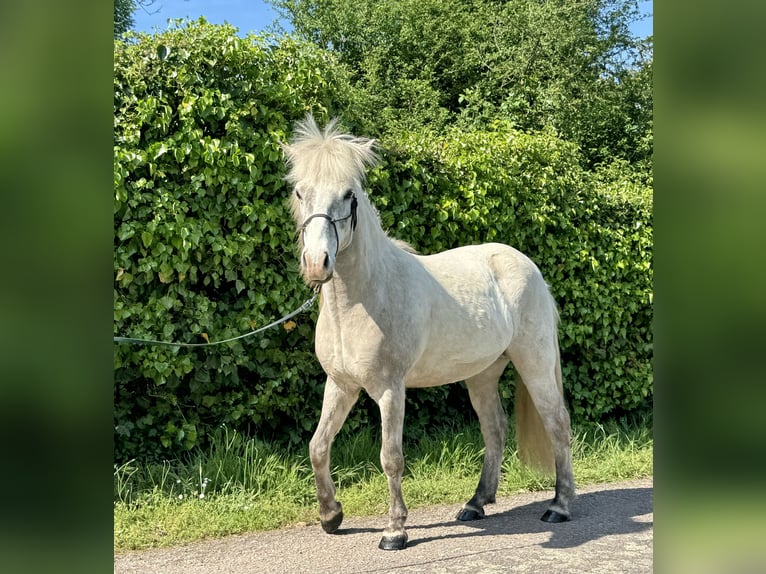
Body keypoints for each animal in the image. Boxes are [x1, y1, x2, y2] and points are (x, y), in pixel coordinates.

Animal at [284, 115, 576, 552]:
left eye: (349, 195)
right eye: (300, 191)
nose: (318, 263)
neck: (364, 299)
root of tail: (528, 267)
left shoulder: (390, 390)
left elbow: (391, 457)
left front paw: (394, 531)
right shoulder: (341, 385)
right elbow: (318, 446)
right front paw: (331, 516)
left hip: (535, 364)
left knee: (557, 422)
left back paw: (560, 506)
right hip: (483, 374)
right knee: (495, 429)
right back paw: (475, 503)